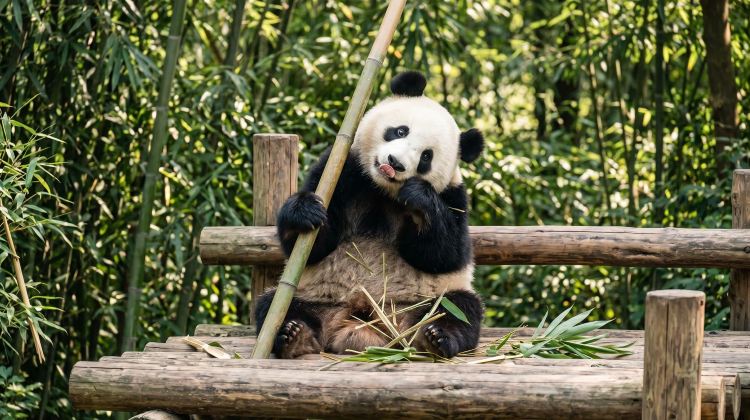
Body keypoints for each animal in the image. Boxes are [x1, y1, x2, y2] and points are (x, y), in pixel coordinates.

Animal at [255, 71, 485, 359]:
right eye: (400, 130)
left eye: (426, 157)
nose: (395, 163)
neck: (381, 190)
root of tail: (359, 324)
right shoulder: (343, 171)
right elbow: (314, 246)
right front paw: (305, 211)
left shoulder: (453, 196)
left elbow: (444, 254)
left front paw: (419, 198)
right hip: (313, 296)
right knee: (273, 304)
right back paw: (295, 335)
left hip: (419, 303)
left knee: (458, 308)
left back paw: (434, 338)